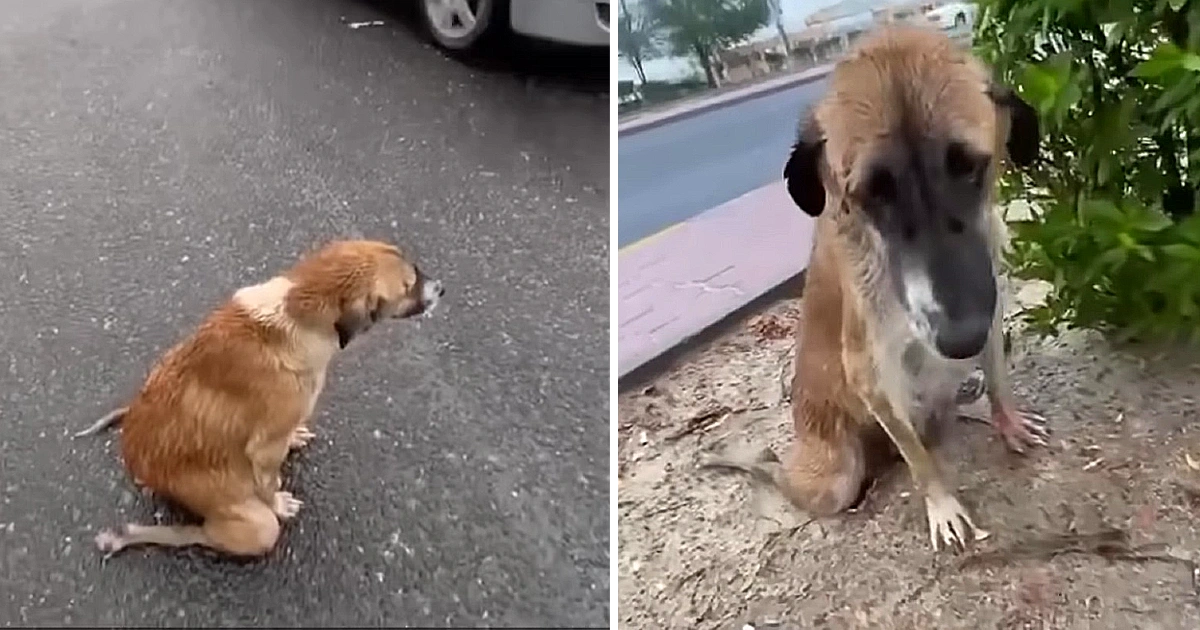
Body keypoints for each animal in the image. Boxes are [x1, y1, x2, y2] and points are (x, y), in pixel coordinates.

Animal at [81, 240, 446, 554]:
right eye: (408, 286)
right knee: (202, 534)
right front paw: (279, 501)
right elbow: (269, 482)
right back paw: (128, 535)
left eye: (416, 270)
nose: (442, 288)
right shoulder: (265, 449)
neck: (297, 311)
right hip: (255, 525)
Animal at [700, 27, 1046, 549]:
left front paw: (1007, 421)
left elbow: (999, 382)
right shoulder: (869, 372)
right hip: (835, 478)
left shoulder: (990, 310)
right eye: (871, 193)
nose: (961, 340)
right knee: (784, 473)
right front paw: (941, 504)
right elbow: (919, 460)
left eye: (970, 166)